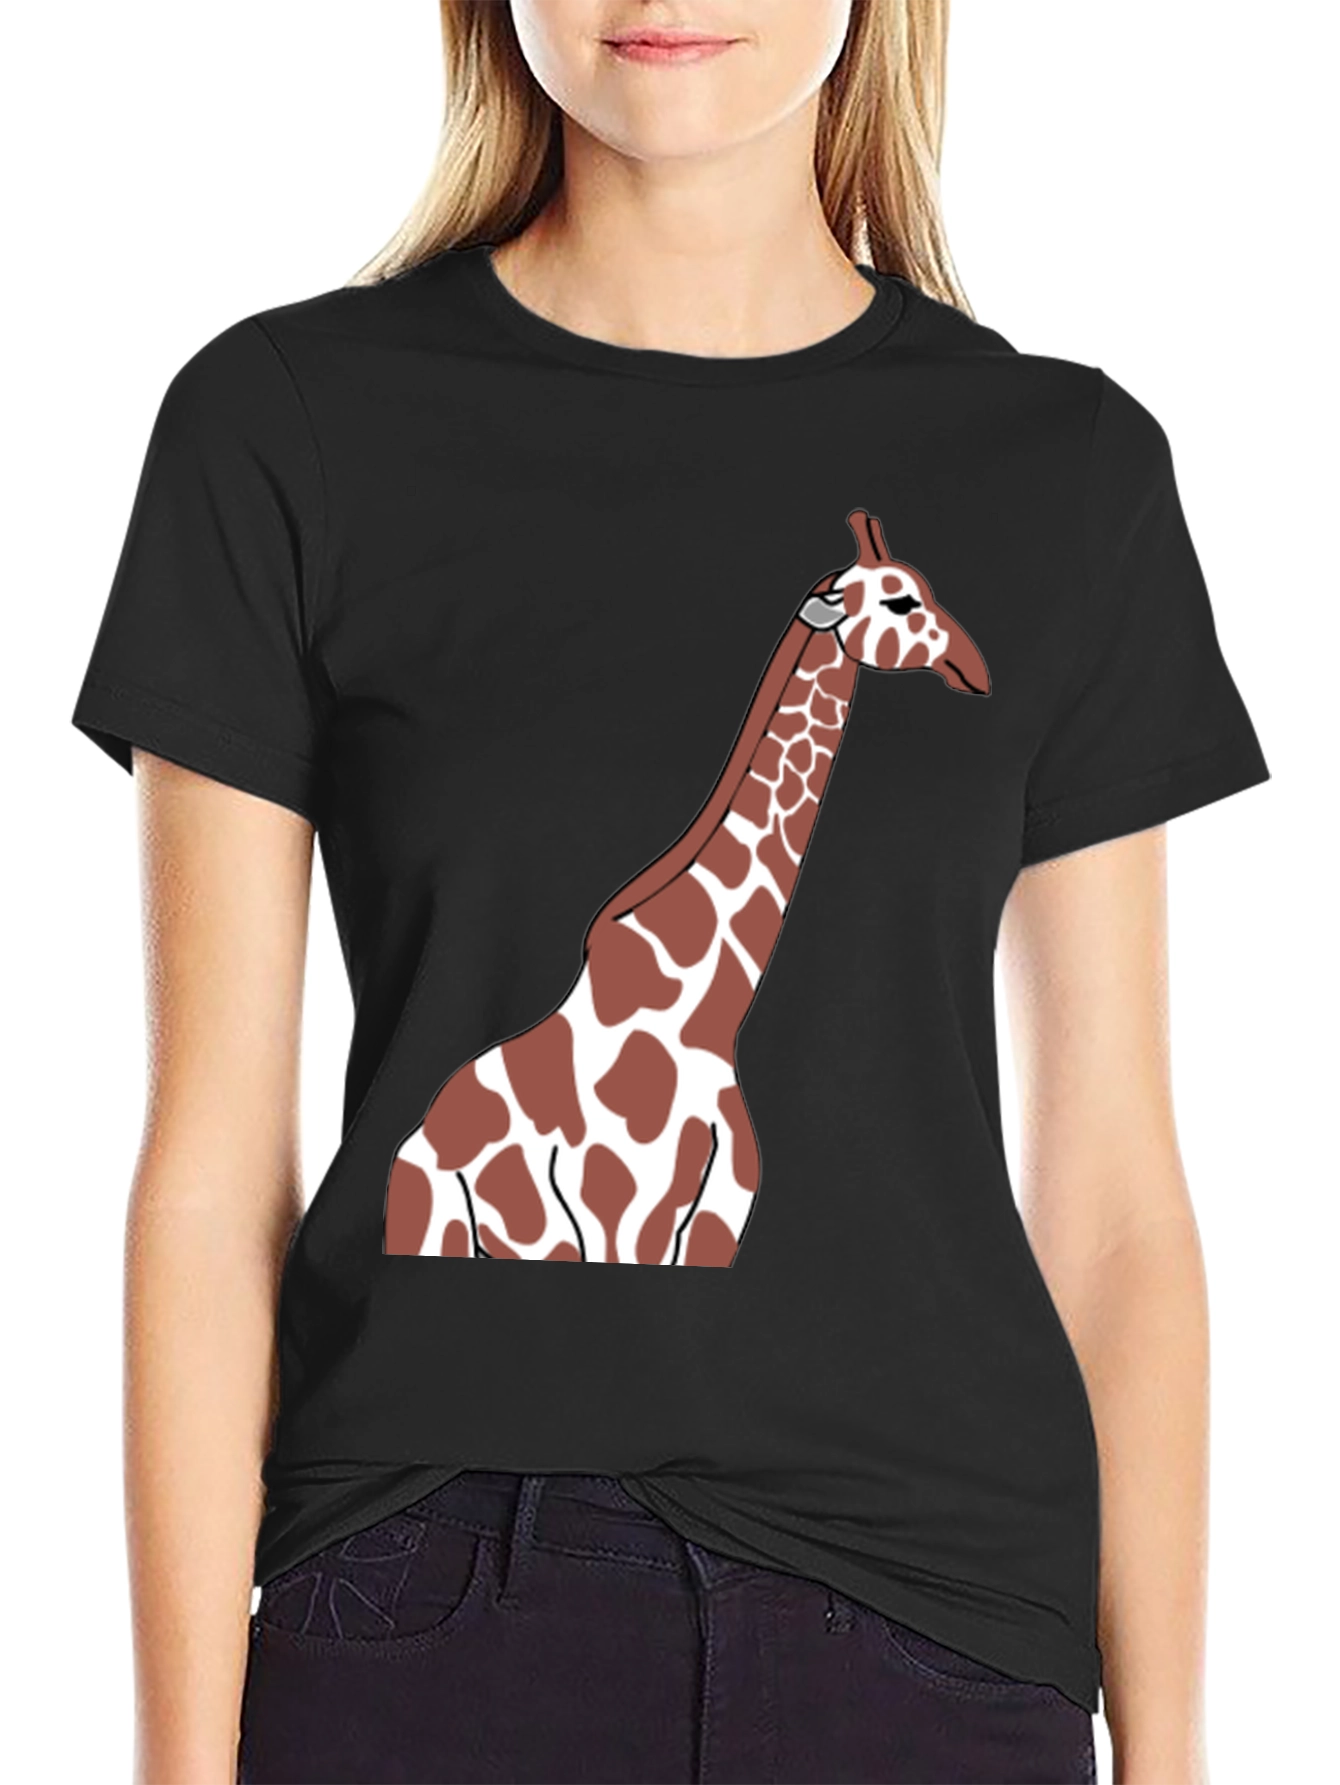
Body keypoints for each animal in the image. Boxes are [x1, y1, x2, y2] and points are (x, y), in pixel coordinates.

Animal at [385, 509, 990, 1267]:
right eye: (901, 602)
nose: (977, 669)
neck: (706, 1015)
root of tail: (417, 1137)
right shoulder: (619, 1222)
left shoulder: (717, 1226)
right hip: (432, 1224)